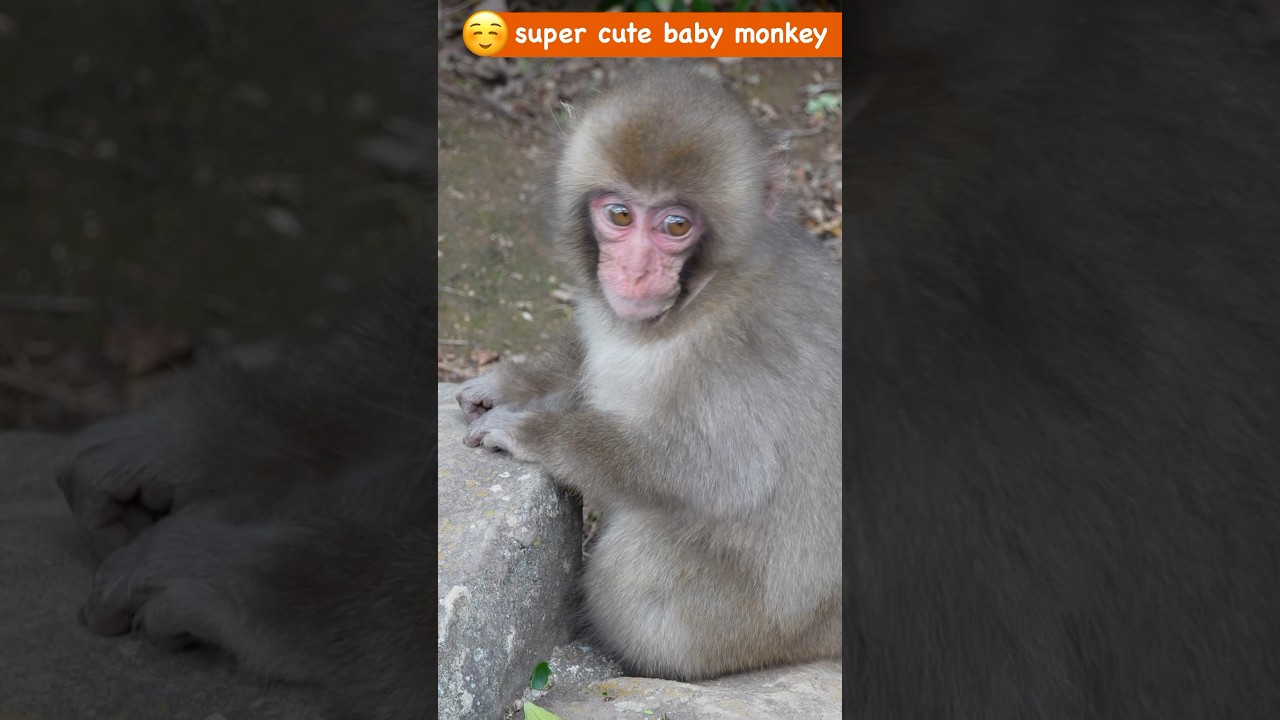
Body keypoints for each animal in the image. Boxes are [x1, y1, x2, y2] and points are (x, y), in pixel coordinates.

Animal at [454, 63, 843, 681]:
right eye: (619, 214)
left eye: (676, 225)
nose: (635, 270)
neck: (701, 298)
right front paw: (513, 384)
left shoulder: (738, 354)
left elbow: (723, 474)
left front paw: (536, 433)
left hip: (758, 629)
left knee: (636, 572)